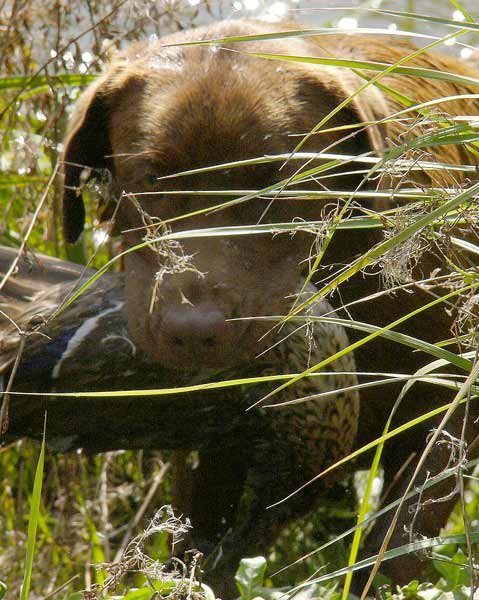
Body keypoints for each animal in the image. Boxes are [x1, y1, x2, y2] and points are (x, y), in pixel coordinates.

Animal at [58, 18, 479, 593]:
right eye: (150, 180)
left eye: (276, 185)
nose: (193, 331)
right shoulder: (212, 433)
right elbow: (198, 539)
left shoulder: (450, 396)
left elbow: (396, 542)